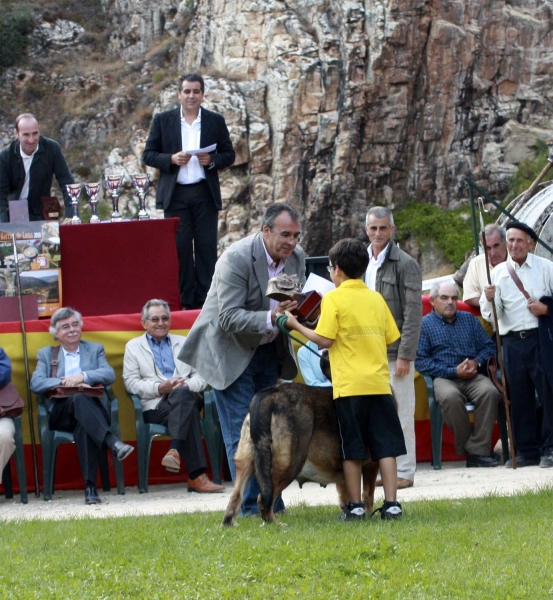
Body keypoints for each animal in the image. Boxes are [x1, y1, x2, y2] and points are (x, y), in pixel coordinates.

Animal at [222, 384, 378, 524]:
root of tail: (270, 394)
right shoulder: (371, 466)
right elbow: (368, 495)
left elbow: (347, 495)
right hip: (289, 465)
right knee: (264, 499)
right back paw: (276, 524)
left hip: (246, 462)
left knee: (236, 495)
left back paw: (229, 524)